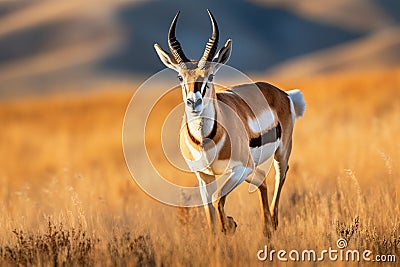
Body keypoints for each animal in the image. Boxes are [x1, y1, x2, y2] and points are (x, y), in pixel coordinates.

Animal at [155, 10, 304, 237]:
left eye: (211, 75)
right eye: (180, 76)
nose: (194, 102)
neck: (206, 141)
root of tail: (282, 93)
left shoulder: (239, 169)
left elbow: (218, 199)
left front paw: (230, 225)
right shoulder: (203, 177)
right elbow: (210, 216)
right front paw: (224, 230)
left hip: (279, 155)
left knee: (279, 177)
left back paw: (272, 225)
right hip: (250, 170)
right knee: (262, 179)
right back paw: (264, 228)